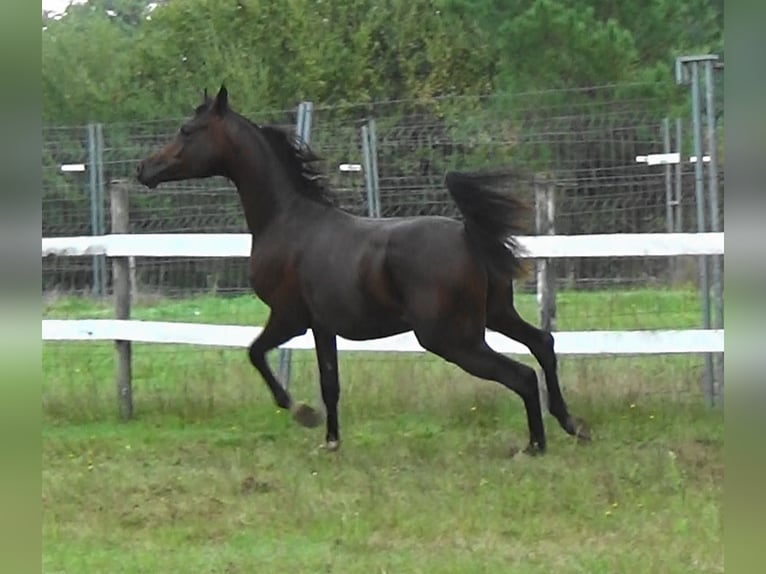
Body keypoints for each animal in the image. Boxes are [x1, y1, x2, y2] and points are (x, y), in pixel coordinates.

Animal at [138, 85, 592, 456]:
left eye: (187, 130)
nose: (144, 169)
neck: (287, 220)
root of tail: (469, 235)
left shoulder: (289, 318)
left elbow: (256, 354)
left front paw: (301, 412)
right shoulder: (322, 326)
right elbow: (330, 383)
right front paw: (331, 441)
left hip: (452, 338)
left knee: (522, 374)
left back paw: (534, 446)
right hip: (495, 315)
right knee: (543, 344)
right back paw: (572, 424)